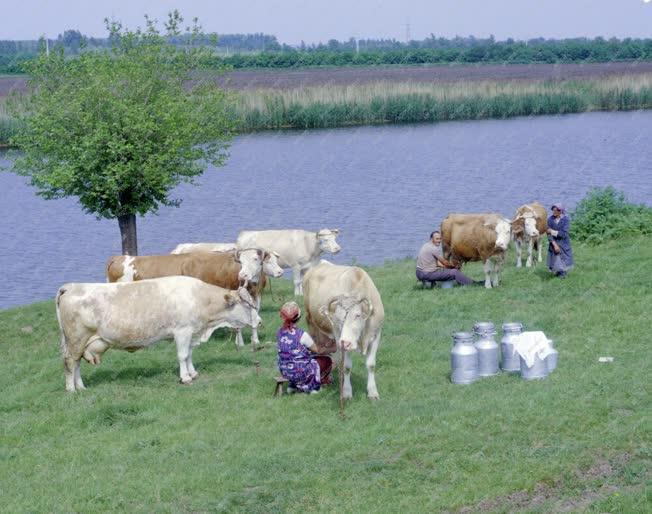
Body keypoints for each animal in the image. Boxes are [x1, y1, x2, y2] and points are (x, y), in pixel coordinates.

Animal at [54, 276, 262, 388]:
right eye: (247, 305)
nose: (260, 321)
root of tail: (70, 286)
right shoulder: (182, 331)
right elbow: (182, 355)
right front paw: (185, 377)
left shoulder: (191, 332)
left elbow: (189, 354)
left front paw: (193, 373)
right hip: (76, 339)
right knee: (70, 363)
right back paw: (72, 389)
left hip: (80, 342)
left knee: (76, 363)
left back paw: (81, 387)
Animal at [105, 247, 282, 348]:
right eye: (242, 262)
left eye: (256, 259)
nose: (243, 274)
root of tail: (120, 257)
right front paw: (240, 343)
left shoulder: (254, 298)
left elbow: (253, 318)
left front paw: (255, 341)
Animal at [304, 260, 384, 400]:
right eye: (338, 318)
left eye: (357, 315)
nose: (345, 342)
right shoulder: (338, 335)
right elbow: (346, 366)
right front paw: (346, 392)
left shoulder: (376, 333)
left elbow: (371, 365)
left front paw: (373, 392)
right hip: (311, 322)